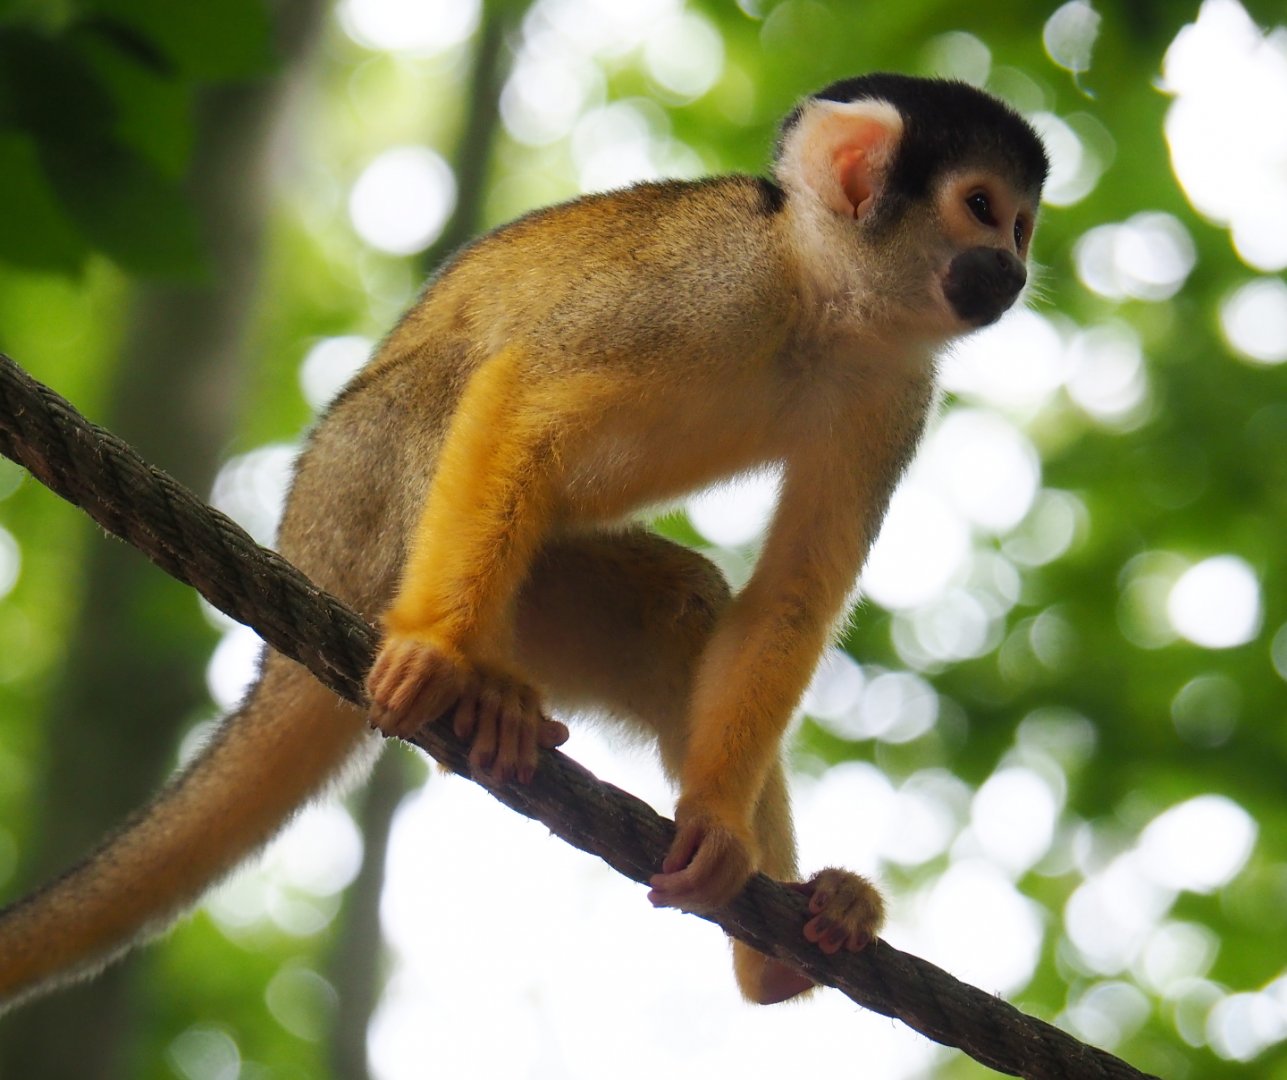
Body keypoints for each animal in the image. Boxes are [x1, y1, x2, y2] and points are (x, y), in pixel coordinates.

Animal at [0, 73, 1047, 1011]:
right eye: (980, 208)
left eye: (1020, 225)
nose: (1014, 268)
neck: (821, 299)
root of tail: (297, 576)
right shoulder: (707, 287)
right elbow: (519, 400)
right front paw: (436, 649)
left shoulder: (891, 393)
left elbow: (790, 593)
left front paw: (716, 823)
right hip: (353, 502)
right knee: (443, 397)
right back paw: (474, 677)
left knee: (681, 608)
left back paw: (780, 954)